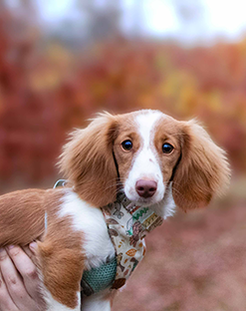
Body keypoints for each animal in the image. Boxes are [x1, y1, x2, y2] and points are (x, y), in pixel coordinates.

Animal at [0, 110, 231, 311]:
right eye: (126, 144)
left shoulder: (100, 293)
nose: (145, 187)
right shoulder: (62, 260)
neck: (116, 218)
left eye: (167, 147)